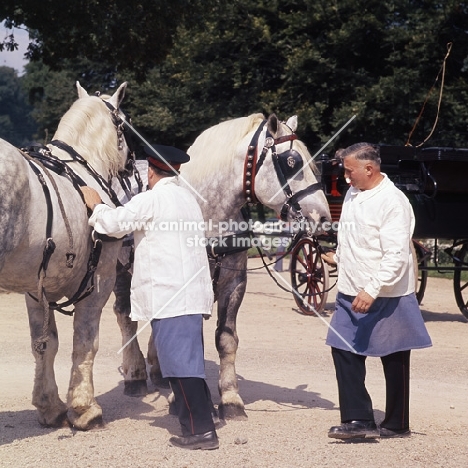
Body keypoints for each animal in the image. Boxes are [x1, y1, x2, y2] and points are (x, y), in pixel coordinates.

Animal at [0, 79, 132, 428]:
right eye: (124, 125)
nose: (131, 165)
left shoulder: (36, 289)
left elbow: (45, 344)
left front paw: (49, 405)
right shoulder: (99, 282)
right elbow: (86, 341)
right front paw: (85, 408)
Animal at [114, 112, 330, 420]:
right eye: (291, 162)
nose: (323, 217)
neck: (208, 216)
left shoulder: (233, 283)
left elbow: (226, 339)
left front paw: (229, 398)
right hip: (120, 272)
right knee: (124, 317)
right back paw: (135, 375)